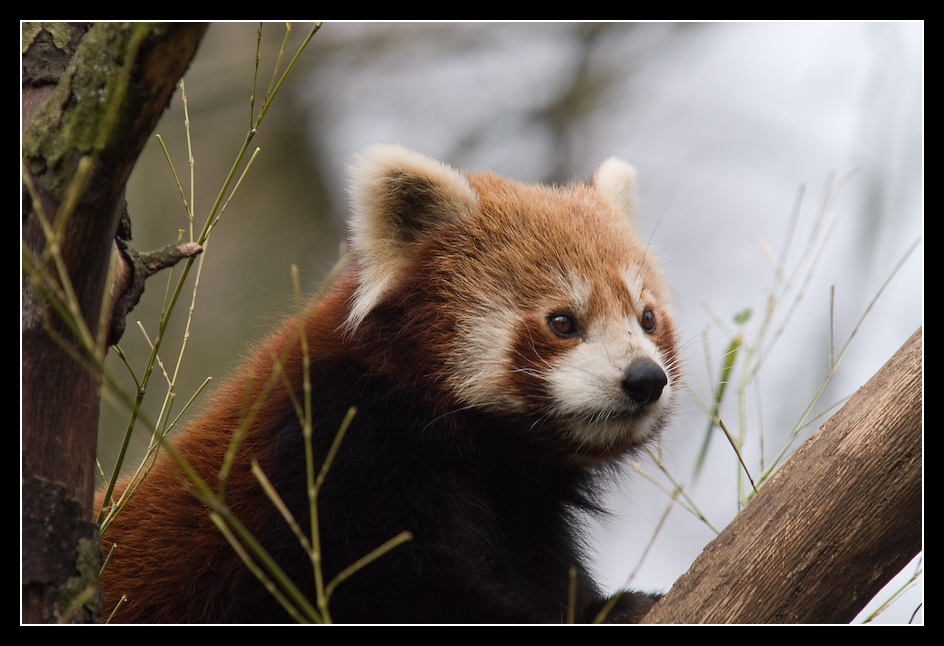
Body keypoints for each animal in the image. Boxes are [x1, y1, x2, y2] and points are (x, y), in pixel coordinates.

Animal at [97, 146, 680, 624]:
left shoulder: (526, 513)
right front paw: (610, 609)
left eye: (647, 319)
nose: (645, 378)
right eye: (562, 322)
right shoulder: (327, 454)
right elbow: (393, 592)